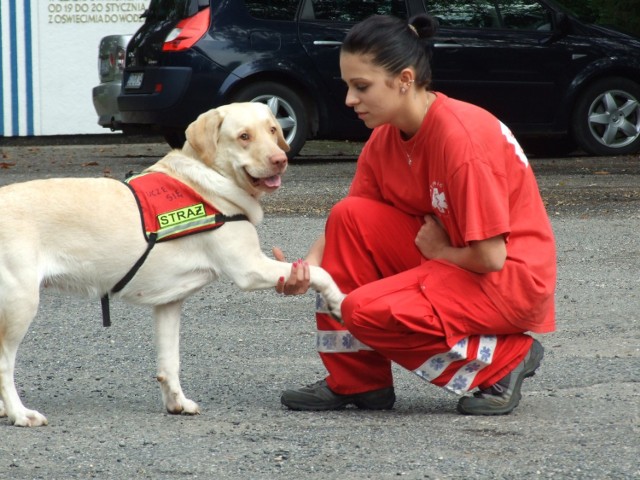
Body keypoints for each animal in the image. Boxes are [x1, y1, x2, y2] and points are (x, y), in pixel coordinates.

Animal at [0, 103, 344, 426]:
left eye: (273, 130)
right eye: (244, 136)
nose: (280, 160)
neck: (207, 179)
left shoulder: (169, 302)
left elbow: (170, 361)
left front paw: (177, 403)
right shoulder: (250, 267)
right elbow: (321, 272)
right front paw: (338, 301)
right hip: (22, 303)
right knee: (5, 364)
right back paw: (20, 413)